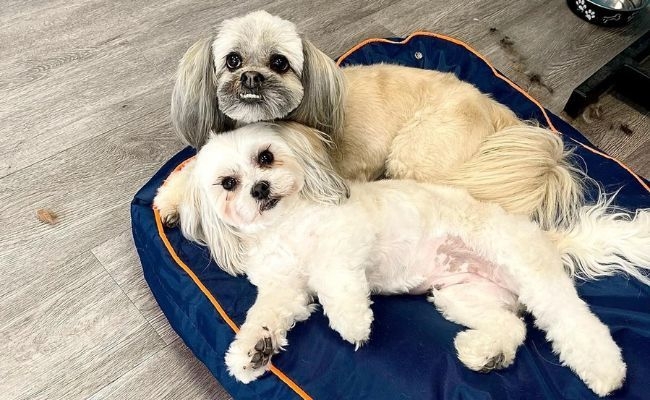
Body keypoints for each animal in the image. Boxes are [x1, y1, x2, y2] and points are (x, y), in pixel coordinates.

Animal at [165, 10, 580, 228]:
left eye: (279, 63)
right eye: (232, 60)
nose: (251, 77)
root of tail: (493, 109)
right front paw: (170, 200)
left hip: (414, 154)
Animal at [171, 122, 648, 396]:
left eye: (266, 157)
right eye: (228, 183)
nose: (259, 189)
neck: (284, 227)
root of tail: (545, 235)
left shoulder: (346, 237)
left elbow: (331, 275)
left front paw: (352, 321)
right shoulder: (283, 287)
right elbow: (267, 315)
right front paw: (253, 352)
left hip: (529, 274)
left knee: (575, 322)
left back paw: (606, 373)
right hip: (464, 296)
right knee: (511, 326)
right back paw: (483, 353)